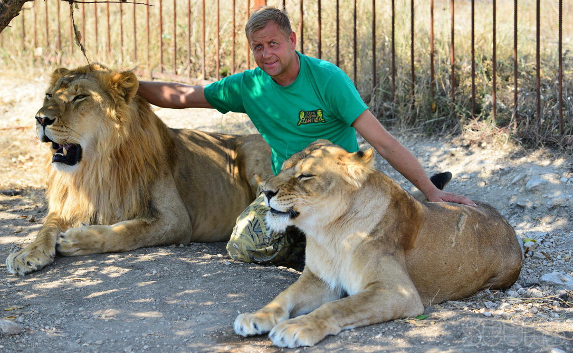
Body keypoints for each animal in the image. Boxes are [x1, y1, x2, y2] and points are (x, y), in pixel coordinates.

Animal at [5, 64, 270, 276]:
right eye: (48, 95)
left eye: (80, 97)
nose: (40, 118)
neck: (94, 167)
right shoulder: (68, 204)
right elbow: (46, 227)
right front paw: (26, 253)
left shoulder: (176, 219)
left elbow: (128, 230)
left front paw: (76, 239)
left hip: (251, 152)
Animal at [233, 140, 524, 346]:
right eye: (283, 168)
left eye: (306, 176)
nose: (265, 191)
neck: (330, 232)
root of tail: (504, 220)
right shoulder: (320, 279)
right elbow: (284, 297)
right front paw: (256, 317)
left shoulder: (397, 292)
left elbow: (338, 306)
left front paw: (298, 326)